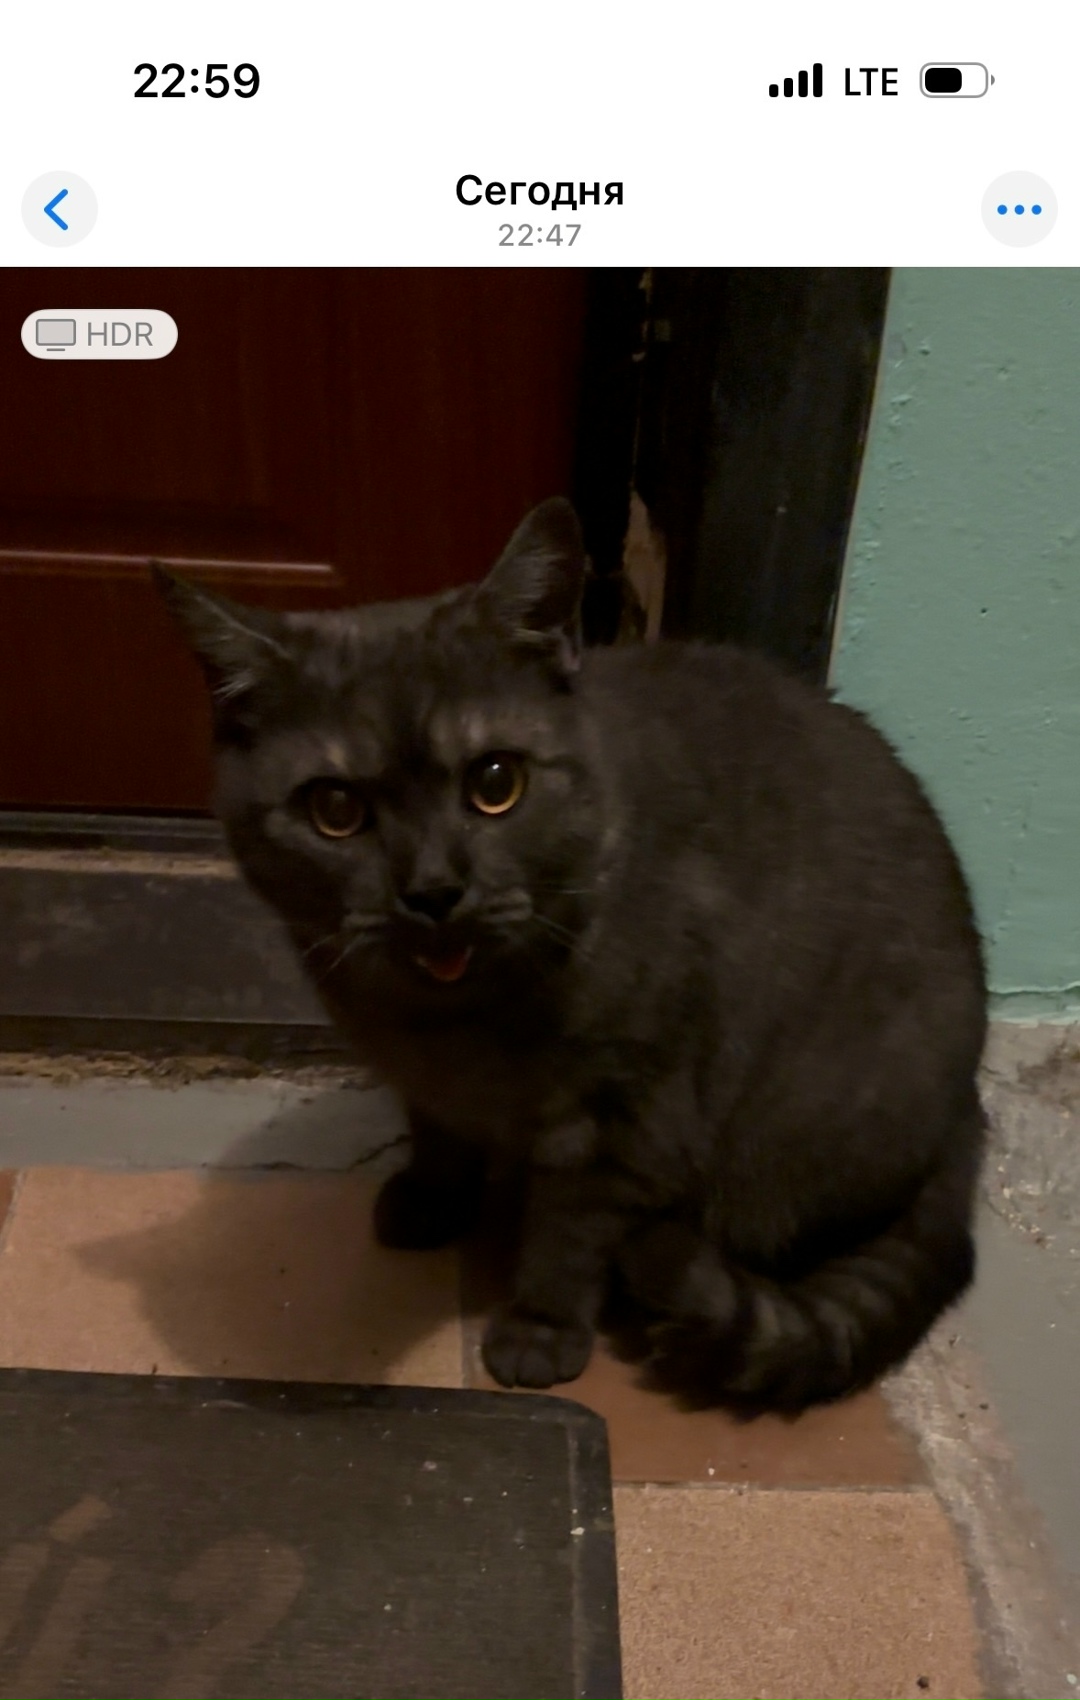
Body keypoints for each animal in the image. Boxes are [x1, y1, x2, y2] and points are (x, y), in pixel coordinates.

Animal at [156, 496, 987, 1411]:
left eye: (496, 783)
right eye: (334, 810)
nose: (434, 888)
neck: (450, 1026)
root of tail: (966, 1119)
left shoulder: (620, 1117)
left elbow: (566, 1240)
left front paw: (536, 1334)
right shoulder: (430, 1089)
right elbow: (438, 1138)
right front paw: (428, 1201)